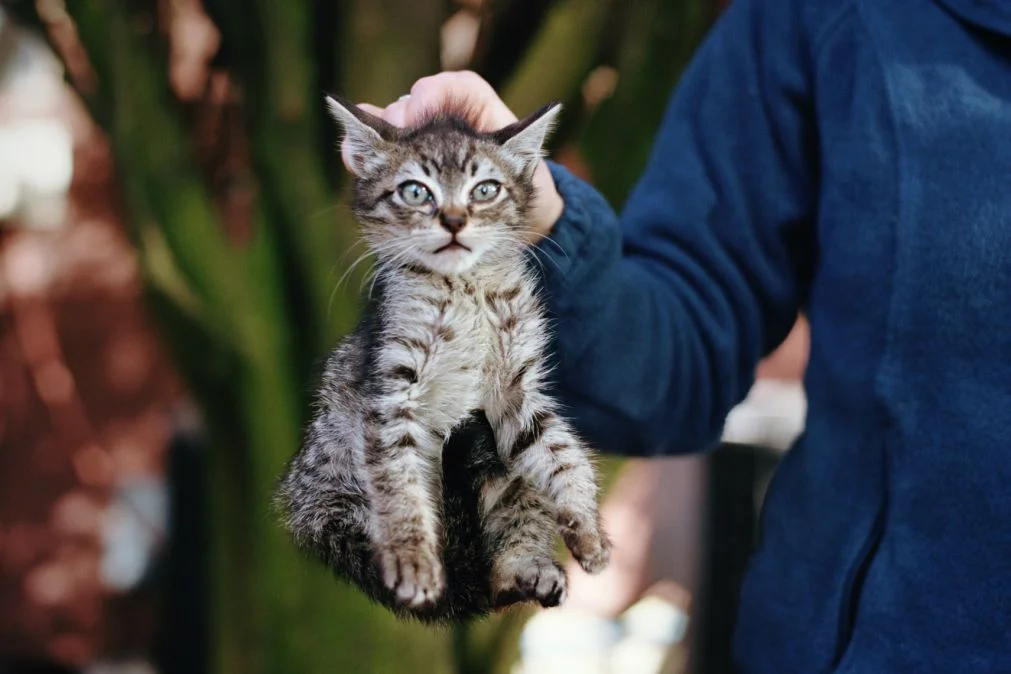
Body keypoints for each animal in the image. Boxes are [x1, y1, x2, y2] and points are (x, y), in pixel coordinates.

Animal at [272, 94, 610, 622]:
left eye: (485, 189)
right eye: (415, 192)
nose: (453, 220)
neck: (464, 287)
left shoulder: (518, 391)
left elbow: (561, 452)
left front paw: (587, 526)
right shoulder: (392, 394)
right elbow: (400, 485)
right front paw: (413, 560)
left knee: (498, 568)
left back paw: (524, 569)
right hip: (331, 492)